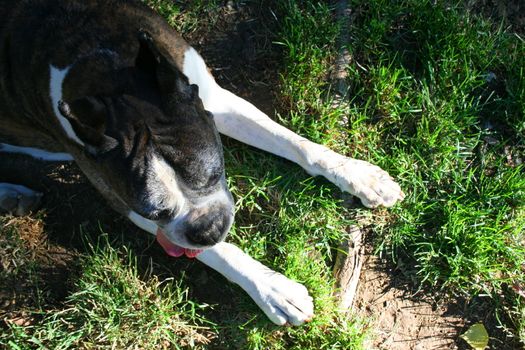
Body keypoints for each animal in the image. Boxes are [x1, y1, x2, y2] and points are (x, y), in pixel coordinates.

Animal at [0, 1, 406, 326]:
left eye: (215, 174)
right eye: (156, 212)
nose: (207, 229)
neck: (99, 69)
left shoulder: (215, 100)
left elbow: (294, 143)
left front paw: (358, 174)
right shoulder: (123, 199)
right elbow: (221, 253)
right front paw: (273, 288)